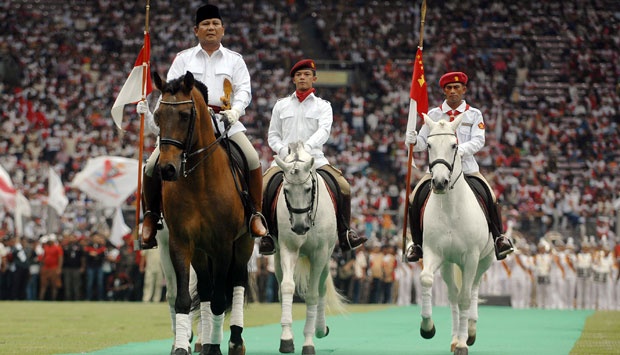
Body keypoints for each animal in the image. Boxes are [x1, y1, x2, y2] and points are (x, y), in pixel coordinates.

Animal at [154, 72, 253, 355]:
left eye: (185, 115)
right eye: (157, 115)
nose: (167, 169)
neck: (199, 180)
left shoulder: (223, 245)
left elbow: (220, 299)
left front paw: (214, 347)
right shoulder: (181, 243)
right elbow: (184, 299)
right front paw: (181, 347)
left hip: (244, 243)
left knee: (237, 282)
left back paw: (234, 340)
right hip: (200, 252)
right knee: (206, 289)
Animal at [274, 142, 346, 355]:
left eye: (308, 189)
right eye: (286, 190)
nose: (299, 227)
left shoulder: (320, 254)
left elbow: (313, 295)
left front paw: (308, 341)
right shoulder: (287, 249)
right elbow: (287, 287)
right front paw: (286, 338)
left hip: (326, 258)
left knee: (321, 288)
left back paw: (320, 329)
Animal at [416, 114, 494, 355]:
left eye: (454, 145)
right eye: (429, 145)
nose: (440, 182)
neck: (450, 208)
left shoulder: (471, 257)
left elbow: (465, 299)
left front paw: (462, 343)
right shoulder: (434, 252)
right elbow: (426, 279)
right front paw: (427, 327)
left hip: (484, 261)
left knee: (473, 289)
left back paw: (469, 331)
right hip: (449, 264)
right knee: (452, 294)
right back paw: (454, 336)